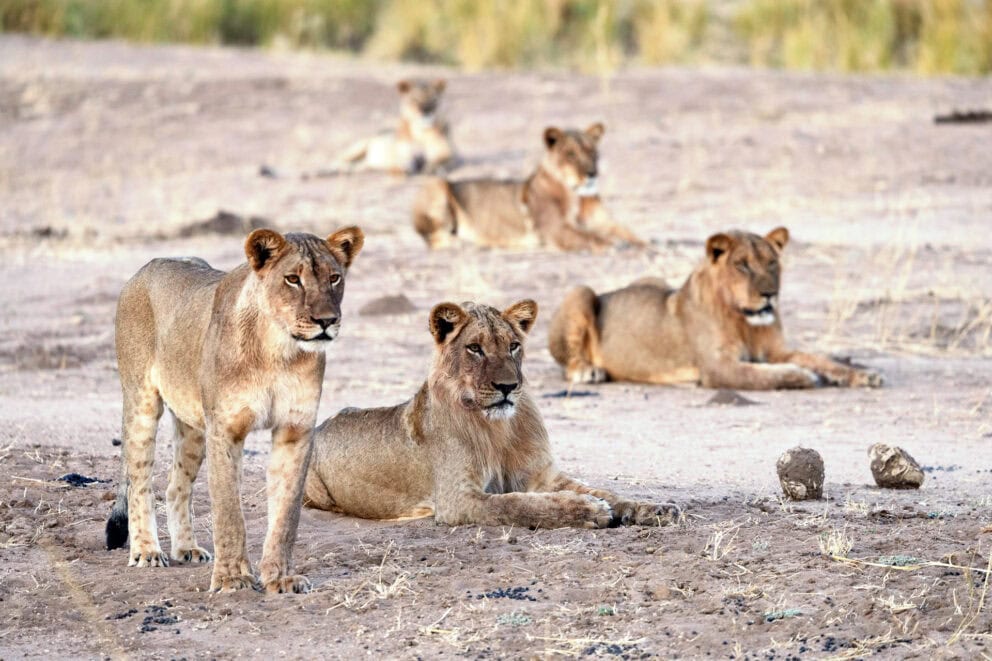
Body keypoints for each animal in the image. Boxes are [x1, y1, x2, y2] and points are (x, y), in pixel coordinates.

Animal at [105, 226, 364, 593]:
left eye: (335, 278)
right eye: (292, 279)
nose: (326, 321)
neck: (279, 352)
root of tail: (147, 267)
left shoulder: (295, 430)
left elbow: (286, 514)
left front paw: (280, 578)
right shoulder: (225, 429)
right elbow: (228, 511)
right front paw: (233, 579)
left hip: (193, 426)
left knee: (175, 486)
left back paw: (186, 548)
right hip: (141, 402)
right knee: (138, 481)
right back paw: (146, 551)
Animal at [303, 299, 679, 529]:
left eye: (513, 346)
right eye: (475, 348)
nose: (508, 386)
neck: (499, 429)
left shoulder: (541, 475)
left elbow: (606, 492)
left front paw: (654, 508)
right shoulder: (459, 499)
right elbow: (517, 504)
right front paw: (586, 510)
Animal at [412, 123, 642, 251]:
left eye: (592, 152)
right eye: (570, 154)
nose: (592, 174)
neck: (579, 196)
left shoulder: (605, 221)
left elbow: (628, 232)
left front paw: (644, 244)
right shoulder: (555, 229)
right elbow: (589, 236)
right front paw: (615, 244)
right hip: (436, 183)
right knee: (433, 238)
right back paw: (466, 242)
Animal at [548, 227, 883, 390]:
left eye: (772, 263)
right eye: (742, 265)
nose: (770, 294)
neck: (746, 322)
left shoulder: (776, 350)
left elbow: (820, 359)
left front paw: (862, 375)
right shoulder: (717, 366)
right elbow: (763, 376)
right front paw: (803, 376)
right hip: (581, 291)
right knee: (567, 362)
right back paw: (587, 371)